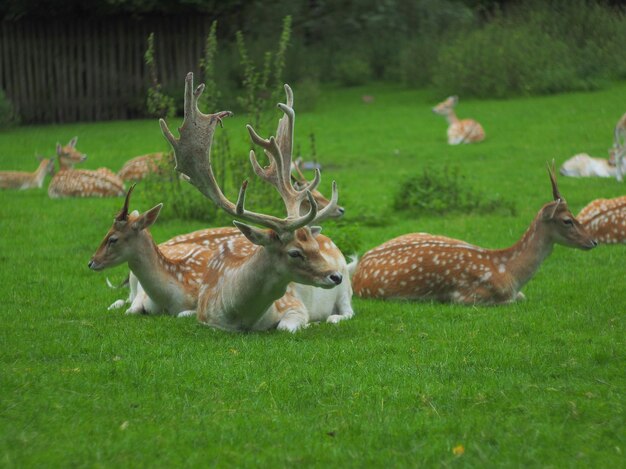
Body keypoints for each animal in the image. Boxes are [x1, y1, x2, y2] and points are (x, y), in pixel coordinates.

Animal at [88, 185, 214, 316]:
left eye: (113, 239)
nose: (91, 262)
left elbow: (182, 314)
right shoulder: (143, 295)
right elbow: (131, 310)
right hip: (132, 280)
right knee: (126, 299)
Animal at [157, 71, 352, 330]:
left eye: (314, 247)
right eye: (294, 252)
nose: (334, 276)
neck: (237, 315)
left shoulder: (292, 304)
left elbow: (286, 327)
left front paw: (310, 324)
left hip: (347, 288)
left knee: (347, 310)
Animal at [352, 165, 596, 304]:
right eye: (567, 220)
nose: (593, 241)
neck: (508, 273)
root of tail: (359, 265)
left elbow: (521, 296)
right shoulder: (464, 296)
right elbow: (511, 300)